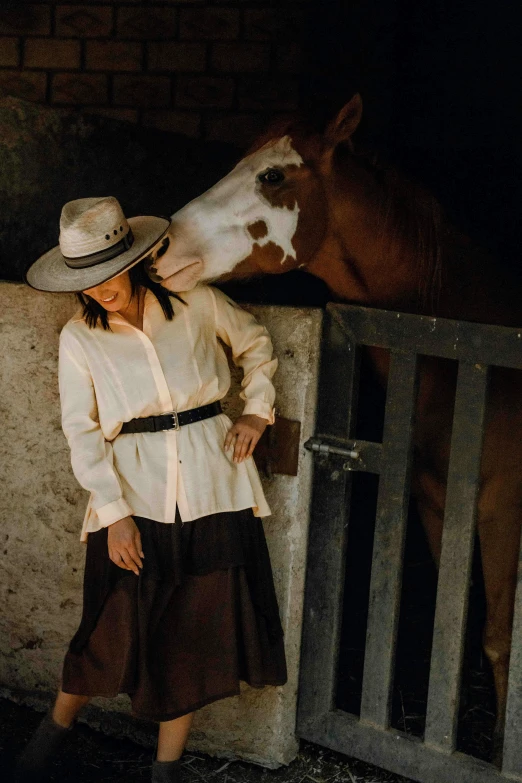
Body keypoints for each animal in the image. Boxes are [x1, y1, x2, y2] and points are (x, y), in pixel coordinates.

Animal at [146, 93, 520, 752]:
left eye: (273, 176)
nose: (164, 249)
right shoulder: (434, 499)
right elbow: (449, 622)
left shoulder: (503, 503)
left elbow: (499, 636)